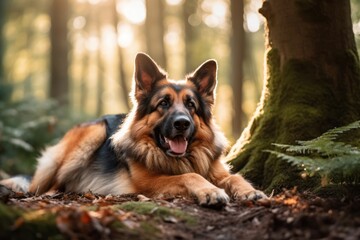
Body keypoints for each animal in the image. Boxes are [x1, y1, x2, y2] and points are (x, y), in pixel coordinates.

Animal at [3, 53, 268, 207]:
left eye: (191, 105)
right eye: (163, 103)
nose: (182, 123)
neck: (184, 158)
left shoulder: (217, 171)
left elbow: (234, 176)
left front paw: (251, 191)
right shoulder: (148, 184)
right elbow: (189, 176)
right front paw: (211, 191)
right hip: (93, 133)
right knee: (42, 187)